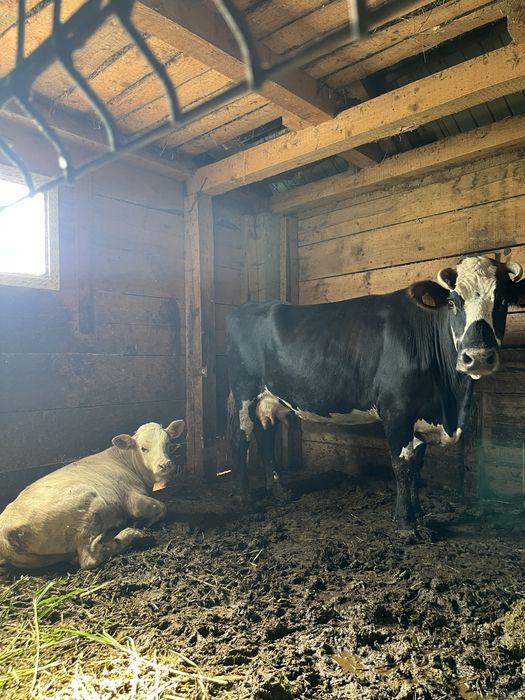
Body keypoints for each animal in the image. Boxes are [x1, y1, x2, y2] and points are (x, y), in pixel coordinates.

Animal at [0, 419, 185, 569]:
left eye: (168, 443)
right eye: (143, 448)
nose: (165, 465)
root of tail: (6, 530)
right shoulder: (133, 501)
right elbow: (162, 507)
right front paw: (147, 522)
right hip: (90, 505)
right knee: (90, 558)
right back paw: (131, 533)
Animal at [226, 256, 525, 536]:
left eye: (503, 301)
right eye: (452, 302)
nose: (477, 357)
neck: (449, 402)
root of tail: (249, 307)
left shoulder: (418, 414)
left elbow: (417, 464)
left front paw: (419, 514)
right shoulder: (397, 408)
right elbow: (402, 464)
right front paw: (406, 523)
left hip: (270, 397)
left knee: (266, 435)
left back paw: (279, 490)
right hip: (243, 390)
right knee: (242, 438)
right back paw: (245, 499)